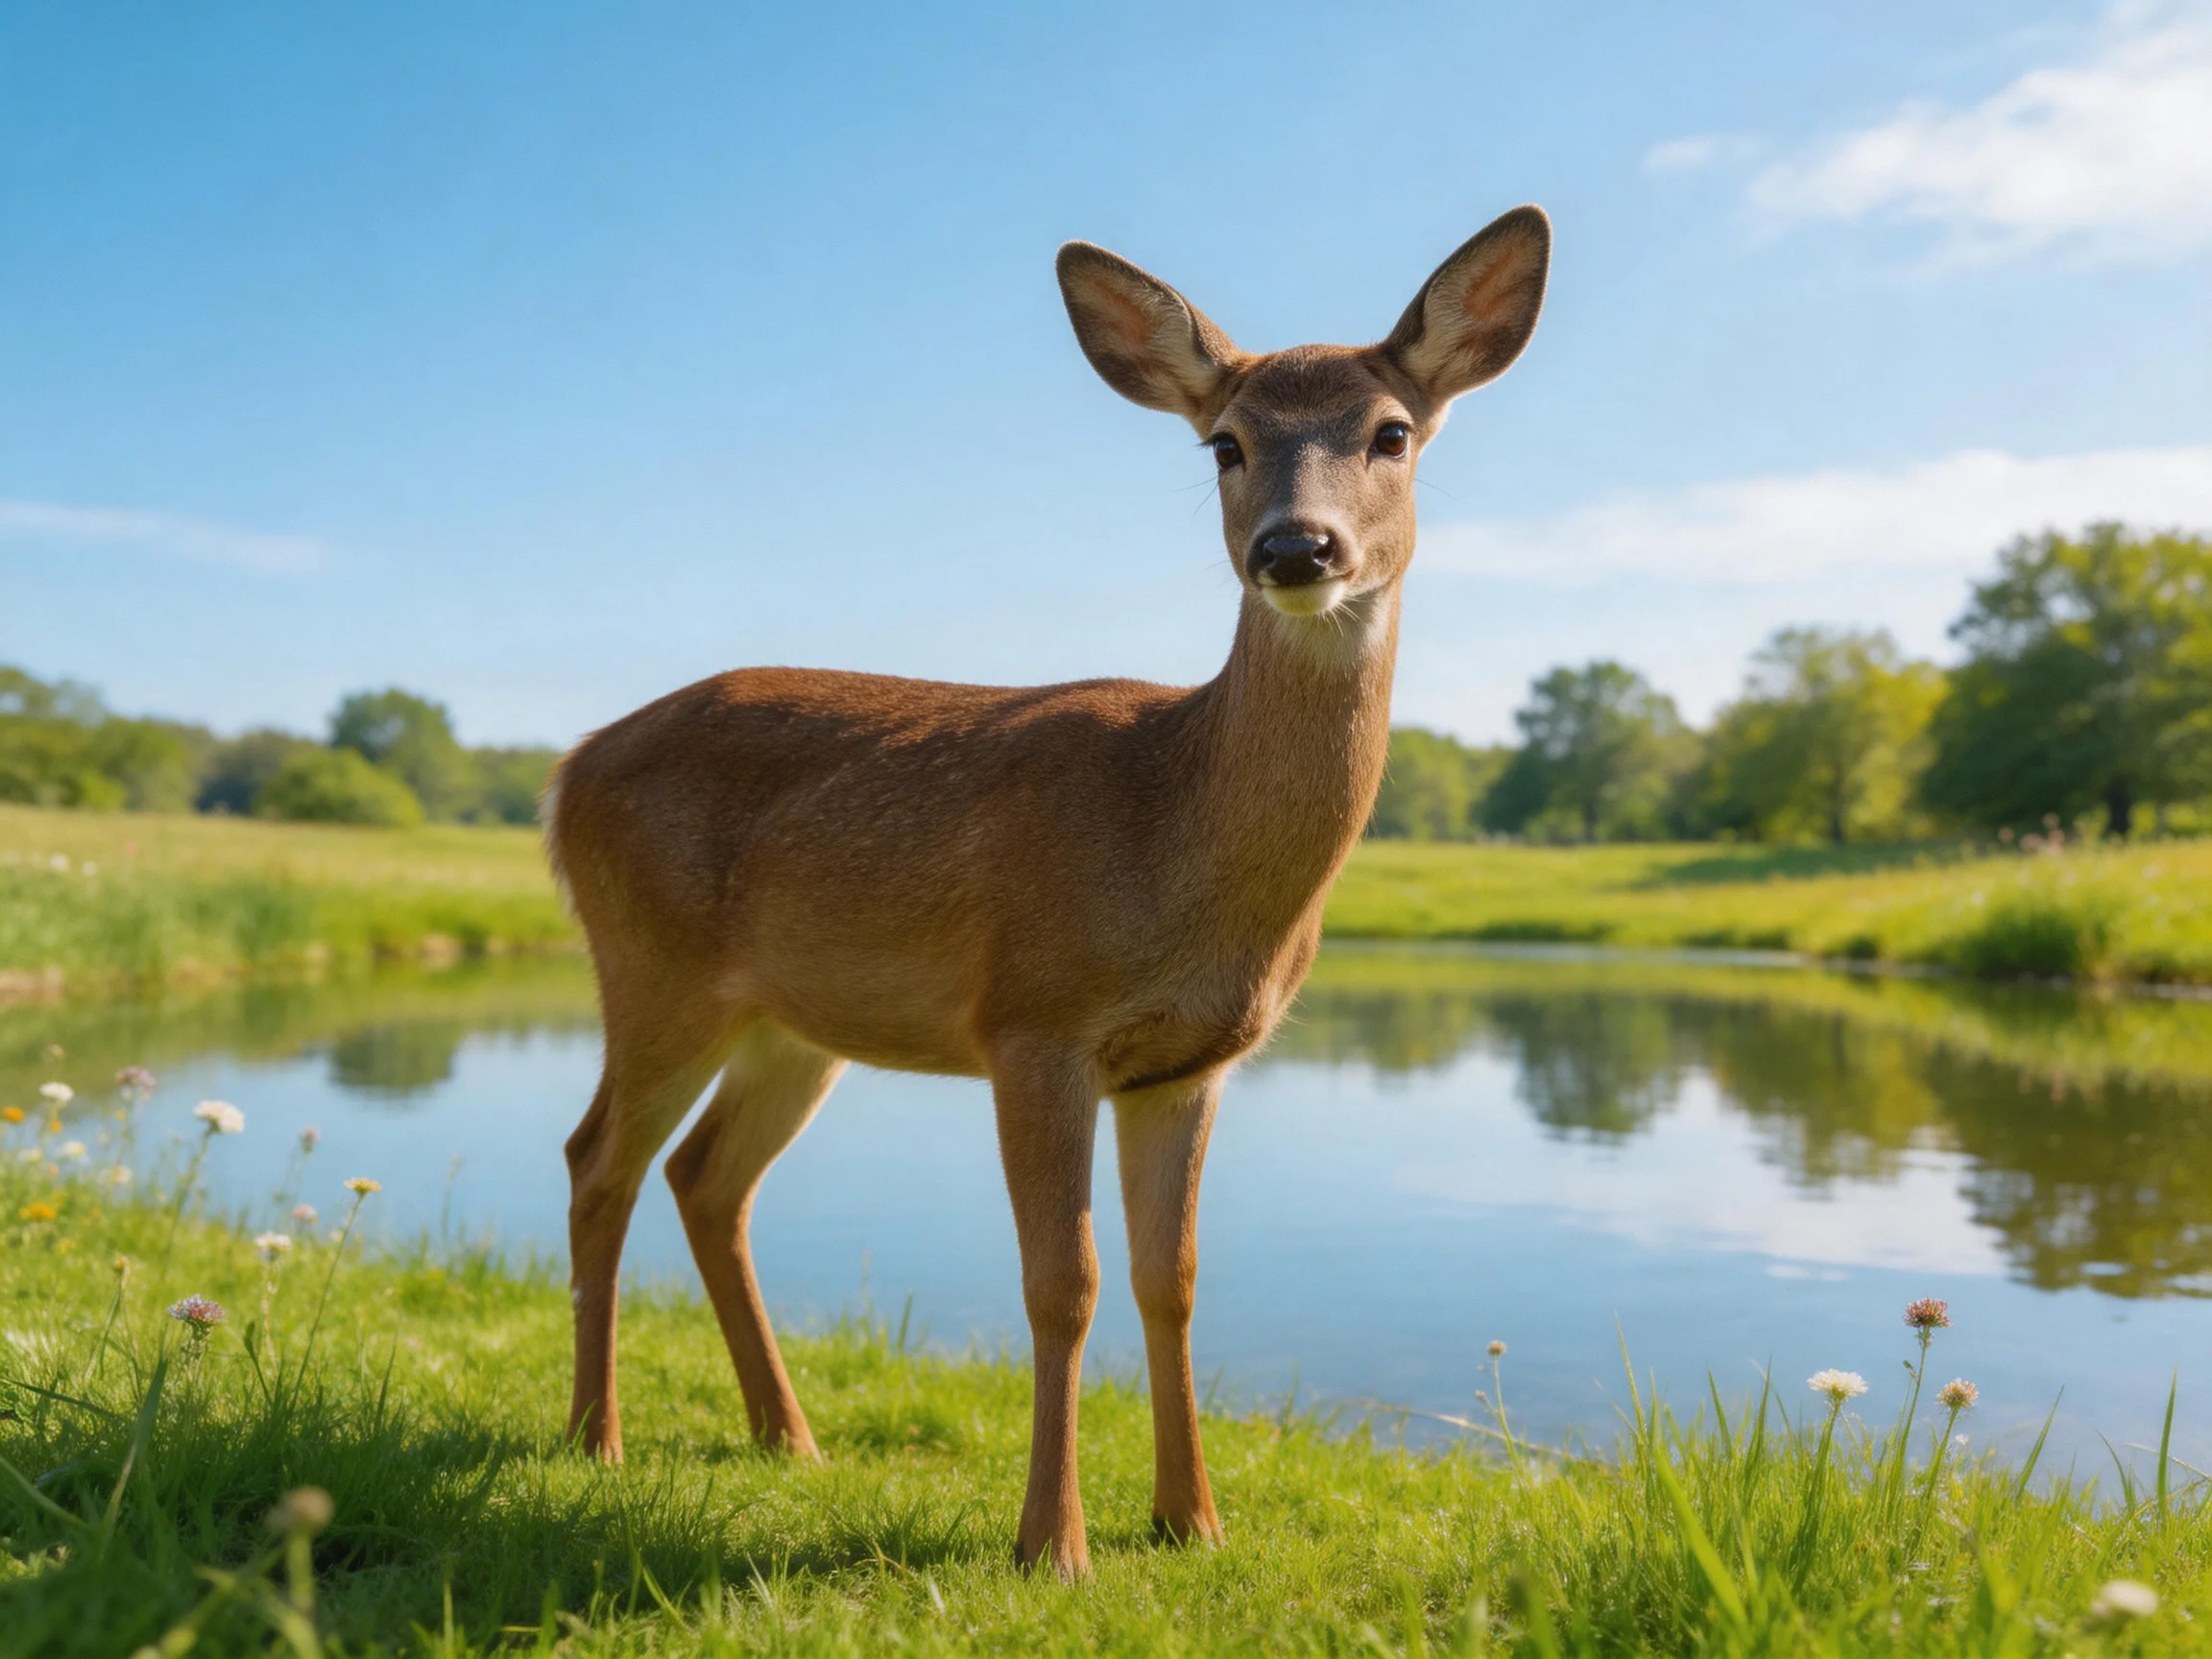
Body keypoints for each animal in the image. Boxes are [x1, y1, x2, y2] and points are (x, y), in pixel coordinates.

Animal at [543, 204, 1550, 1577]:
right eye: (1225, 443)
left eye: (1391, 432)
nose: (1297, 548)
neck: (1175, 831)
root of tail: (566, 775)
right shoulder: (1032, 1020)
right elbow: (1061, 1283)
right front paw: (1052, 1543)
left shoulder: (1187, 1064)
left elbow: (1171, 1280)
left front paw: (1193, 1521)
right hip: (653, 967)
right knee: (599, 1158)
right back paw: (595, 1437)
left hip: (792, 1022)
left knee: (707, 1177)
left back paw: (787, 1436)